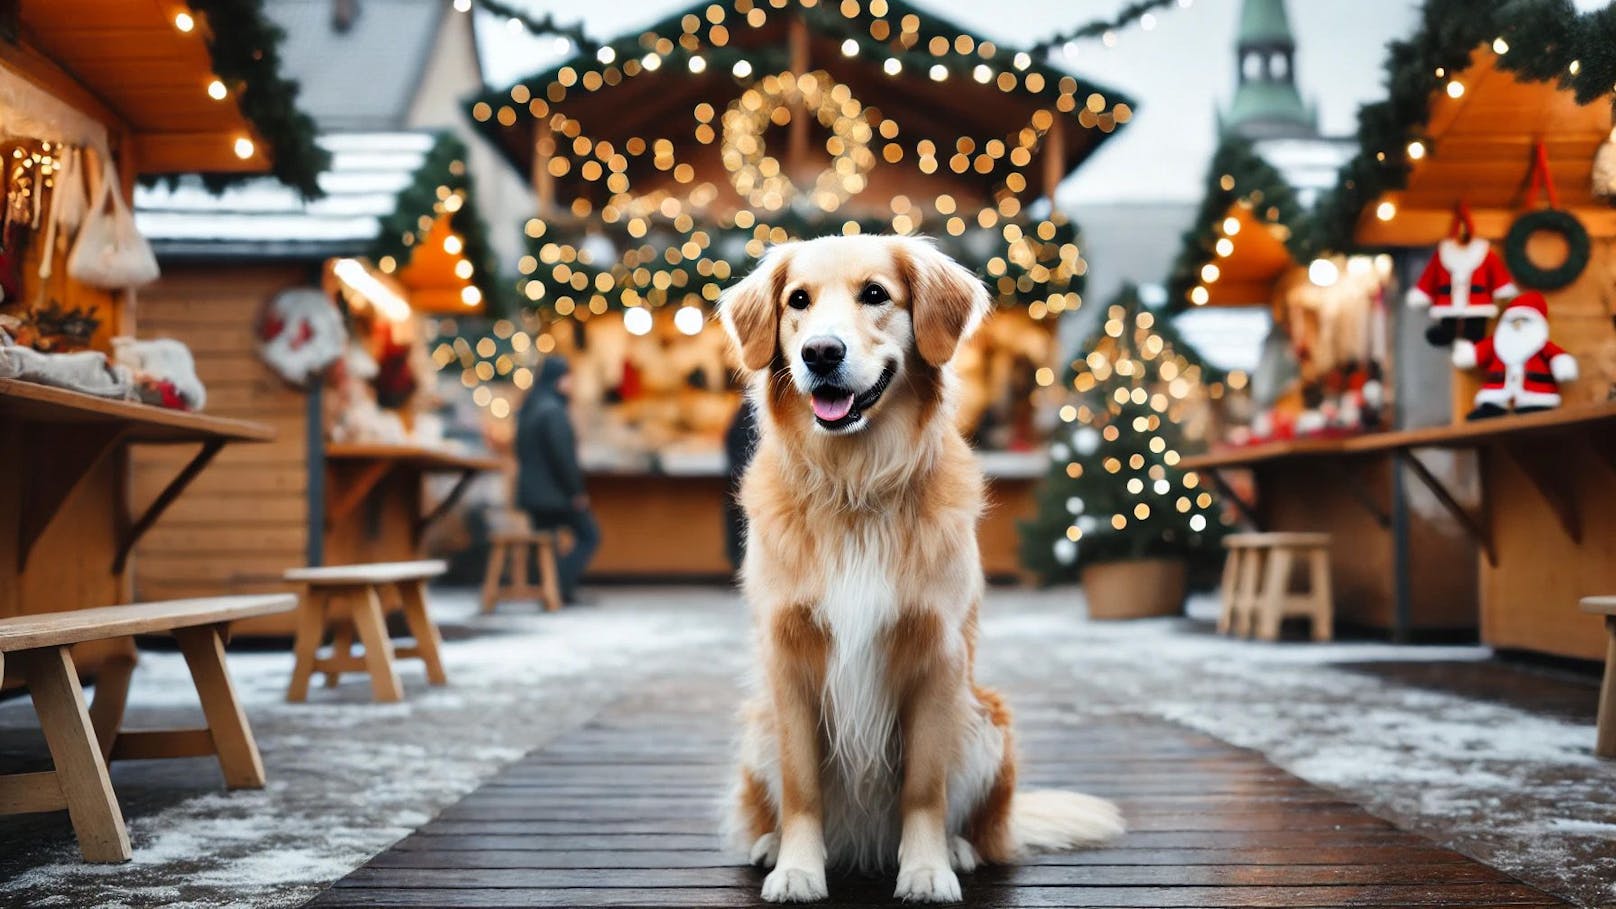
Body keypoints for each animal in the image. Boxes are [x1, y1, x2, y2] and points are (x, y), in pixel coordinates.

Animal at [723, 234, 1124, 899]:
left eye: (875, 294)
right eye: (798, 301)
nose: (820, 352)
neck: (856, 486)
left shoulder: (938, 654)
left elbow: (924, 788)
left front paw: (927, 869)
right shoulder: (788, 658)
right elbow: (802, 786)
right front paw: (798, 869)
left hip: (985, 720)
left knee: (988, 826)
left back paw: (961, 849)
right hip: (758, 723)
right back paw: (770, 845)